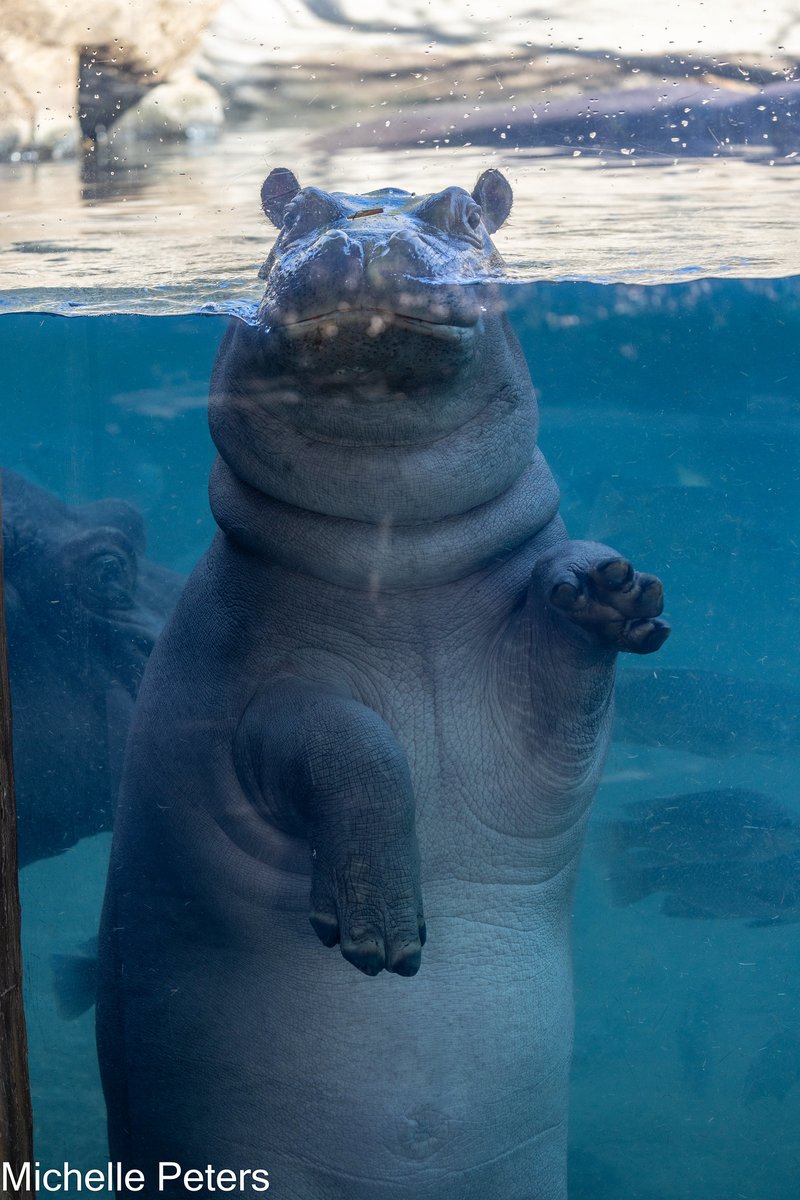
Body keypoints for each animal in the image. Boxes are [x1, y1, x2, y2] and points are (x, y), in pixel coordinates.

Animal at [97, 168, 669, 1200]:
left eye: (469, 211)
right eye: (289, 210)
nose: (365, 237)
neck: (393, 548)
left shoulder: (535, 740)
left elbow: (568, 673)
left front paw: (604, 589)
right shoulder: (240, 702)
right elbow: (350, 744)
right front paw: (381, 940)